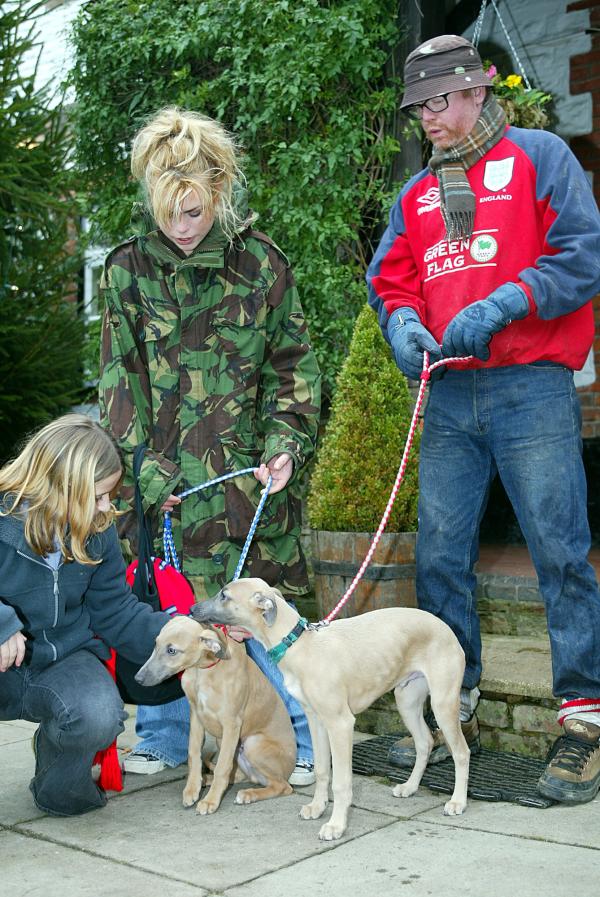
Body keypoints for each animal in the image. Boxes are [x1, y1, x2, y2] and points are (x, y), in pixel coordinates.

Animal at [135, 616, 296, 812]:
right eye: (155, 644)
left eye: (172, 650)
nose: (138, 678)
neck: (203, 671)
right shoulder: (196, 717)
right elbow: (194, 754)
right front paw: (192, 788)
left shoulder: (231, 723)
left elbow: (222, 767)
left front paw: (210, 801)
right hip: (226, 743)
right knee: (240, 775)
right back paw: (210, 781)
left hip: (253, 744)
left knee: (283, 787)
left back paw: (248, 794)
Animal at [191, 580, 468, 840]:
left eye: (224, 595)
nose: (192, 609)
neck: (298, 645)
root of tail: (446, 627)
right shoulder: (316, 720)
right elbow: (323, 769)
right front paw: (317, 807)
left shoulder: (340, 723)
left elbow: (341, 782)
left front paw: (336, 825)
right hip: (407, 701)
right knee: (424, 742)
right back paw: (410, 787)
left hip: (443, 703)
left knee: (461, 752)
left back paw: (457, 802)